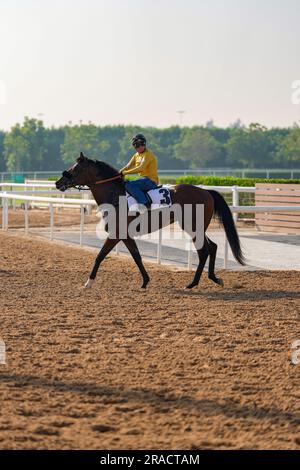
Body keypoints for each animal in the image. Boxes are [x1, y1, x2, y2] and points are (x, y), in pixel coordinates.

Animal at [55, 152, 245, 288]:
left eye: (75, 169)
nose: (58, 182)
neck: (116, 196)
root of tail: (206, 191)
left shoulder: (116, 234)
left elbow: (100, 256)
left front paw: (88, 282)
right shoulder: (126, 235)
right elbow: (136, 256)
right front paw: (145, 281)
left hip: (192, 227)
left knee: (204, 251)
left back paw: (193, 283)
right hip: (197, 227)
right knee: (212, 247)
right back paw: (213, 278)